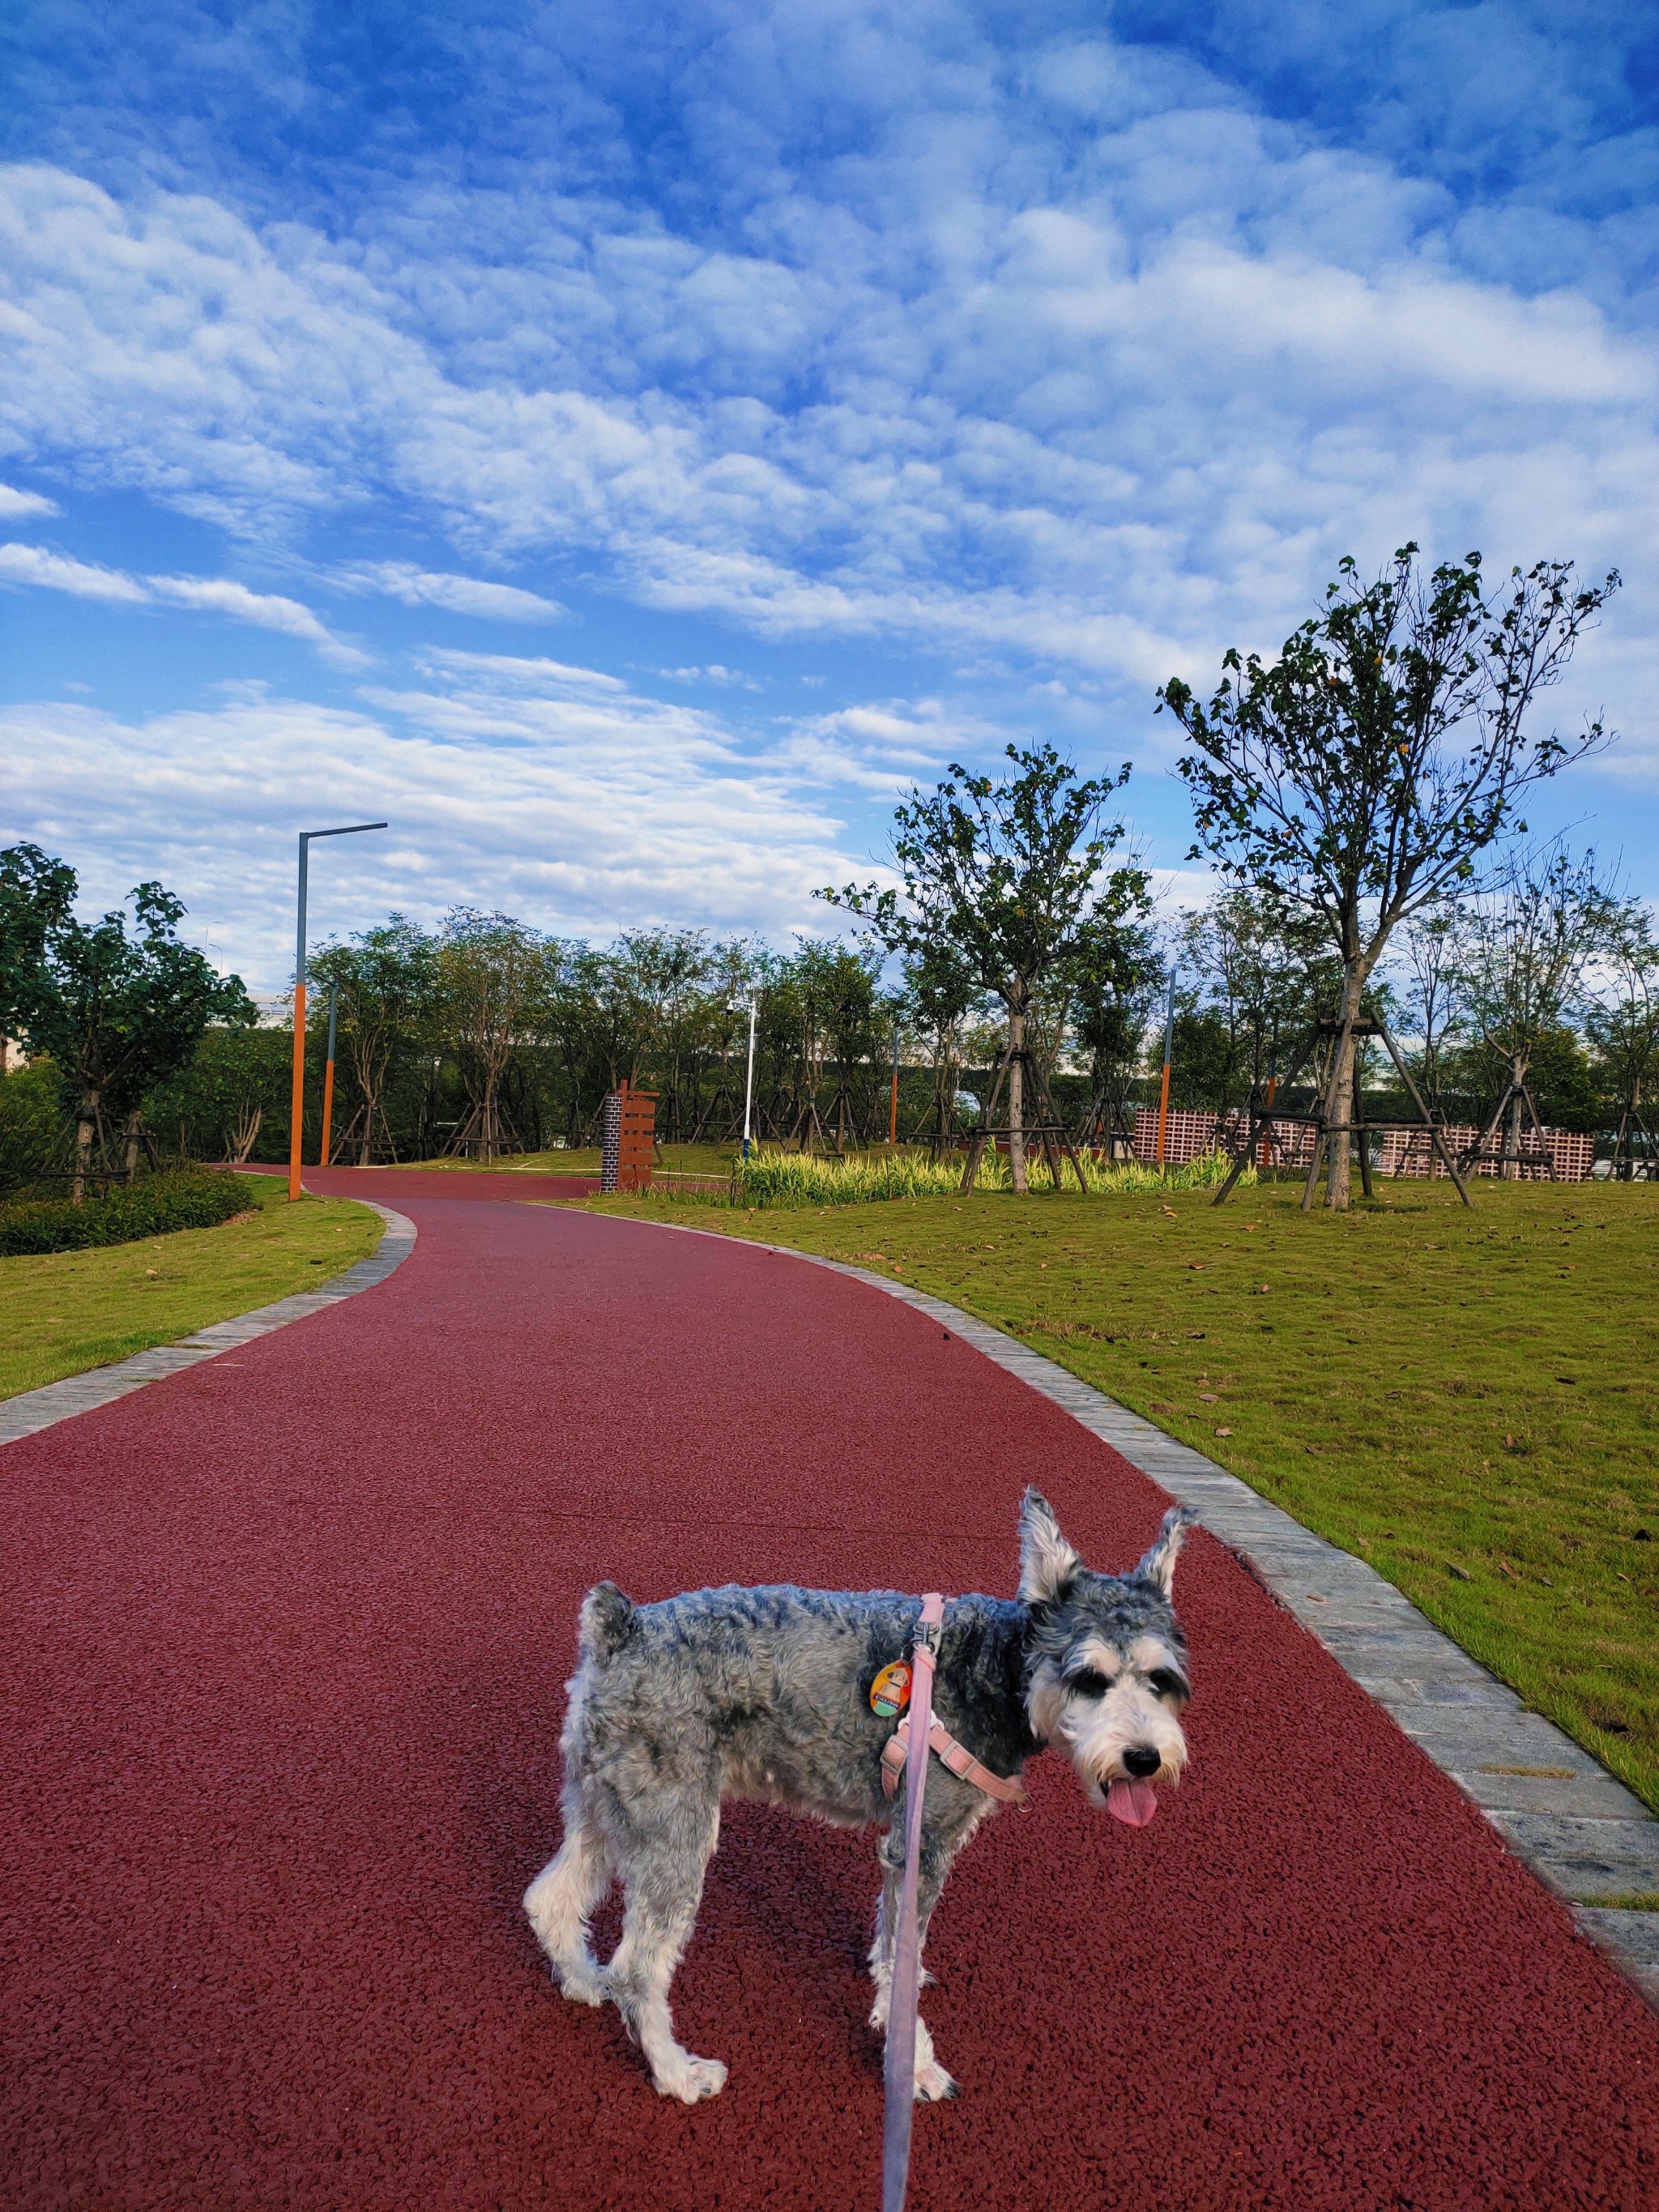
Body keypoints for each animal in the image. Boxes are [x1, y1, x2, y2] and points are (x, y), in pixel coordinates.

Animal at [526, 1486, 1185, 2088]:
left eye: (1162, 1679)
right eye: (1089, 1677)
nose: (1144, 1758)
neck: (994, 1667)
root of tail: (620, 1631)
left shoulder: (913, 1843)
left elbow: (896, 1939)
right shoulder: (924, 1840)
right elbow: (901, 1951)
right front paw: (914, 2064)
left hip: (607, 1807)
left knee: (551, 1898)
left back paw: (584, 1982)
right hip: (675, 1832)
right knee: (638, 1969)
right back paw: (676, 2072)